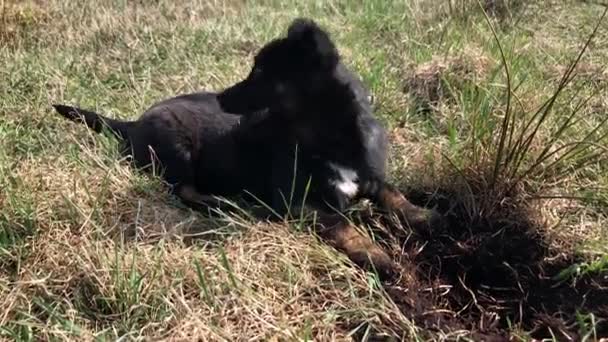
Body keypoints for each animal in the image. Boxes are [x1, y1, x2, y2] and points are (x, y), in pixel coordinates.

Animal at [53, 18, 442, 278]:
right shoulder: (298, 203)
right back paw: (229, 205)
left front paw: (422, 215)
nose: (221, 98)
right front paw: (378, 256)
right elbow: (342, 224)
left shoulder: (369, 175)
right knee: (185, 191)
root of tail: (131, 123)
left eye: (260, 73)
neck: (326, 137)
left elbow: (392, 193)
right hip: (177, 147)